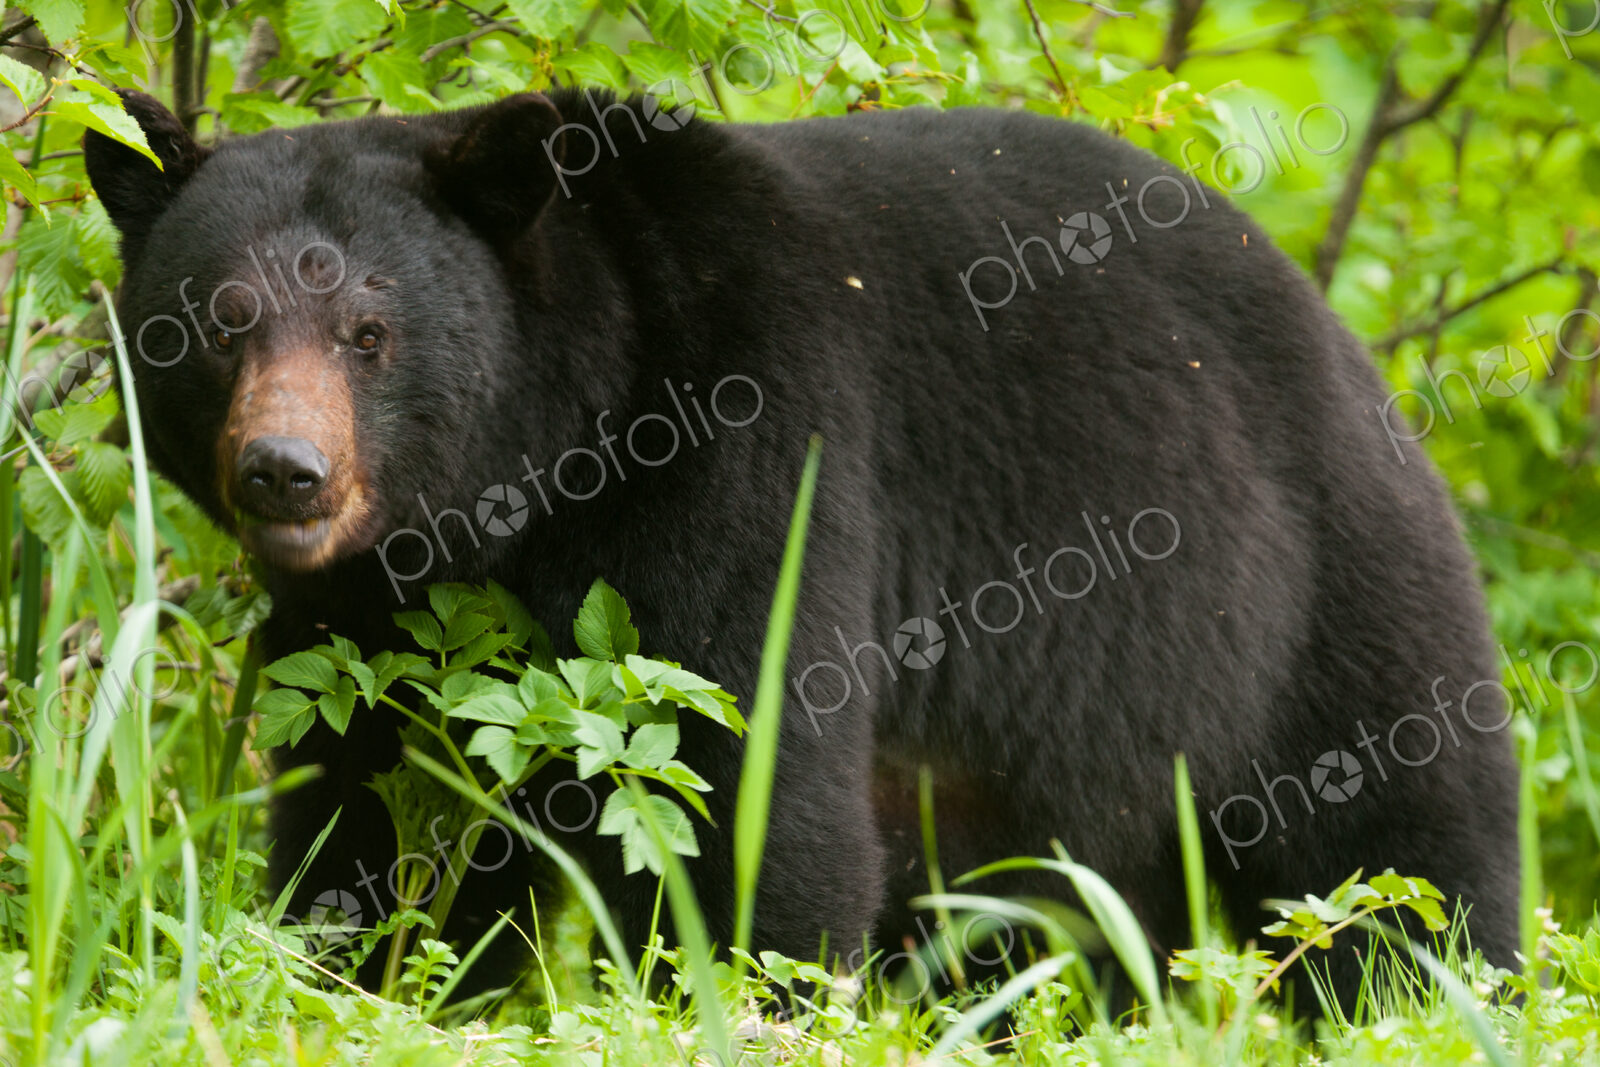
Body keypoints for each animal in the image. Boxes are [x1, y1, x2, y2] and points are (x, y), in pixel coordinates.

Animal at [83, 86, 1519, 1011]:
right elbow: (370, 788)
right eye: (220, 321)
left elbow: (746, 760)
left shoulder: (756, 441)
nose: (286, 471)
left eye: (369, 333)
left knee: (1404, 850)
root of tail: (1354, 350)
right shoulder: (372, 607)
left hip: (1316, 596)